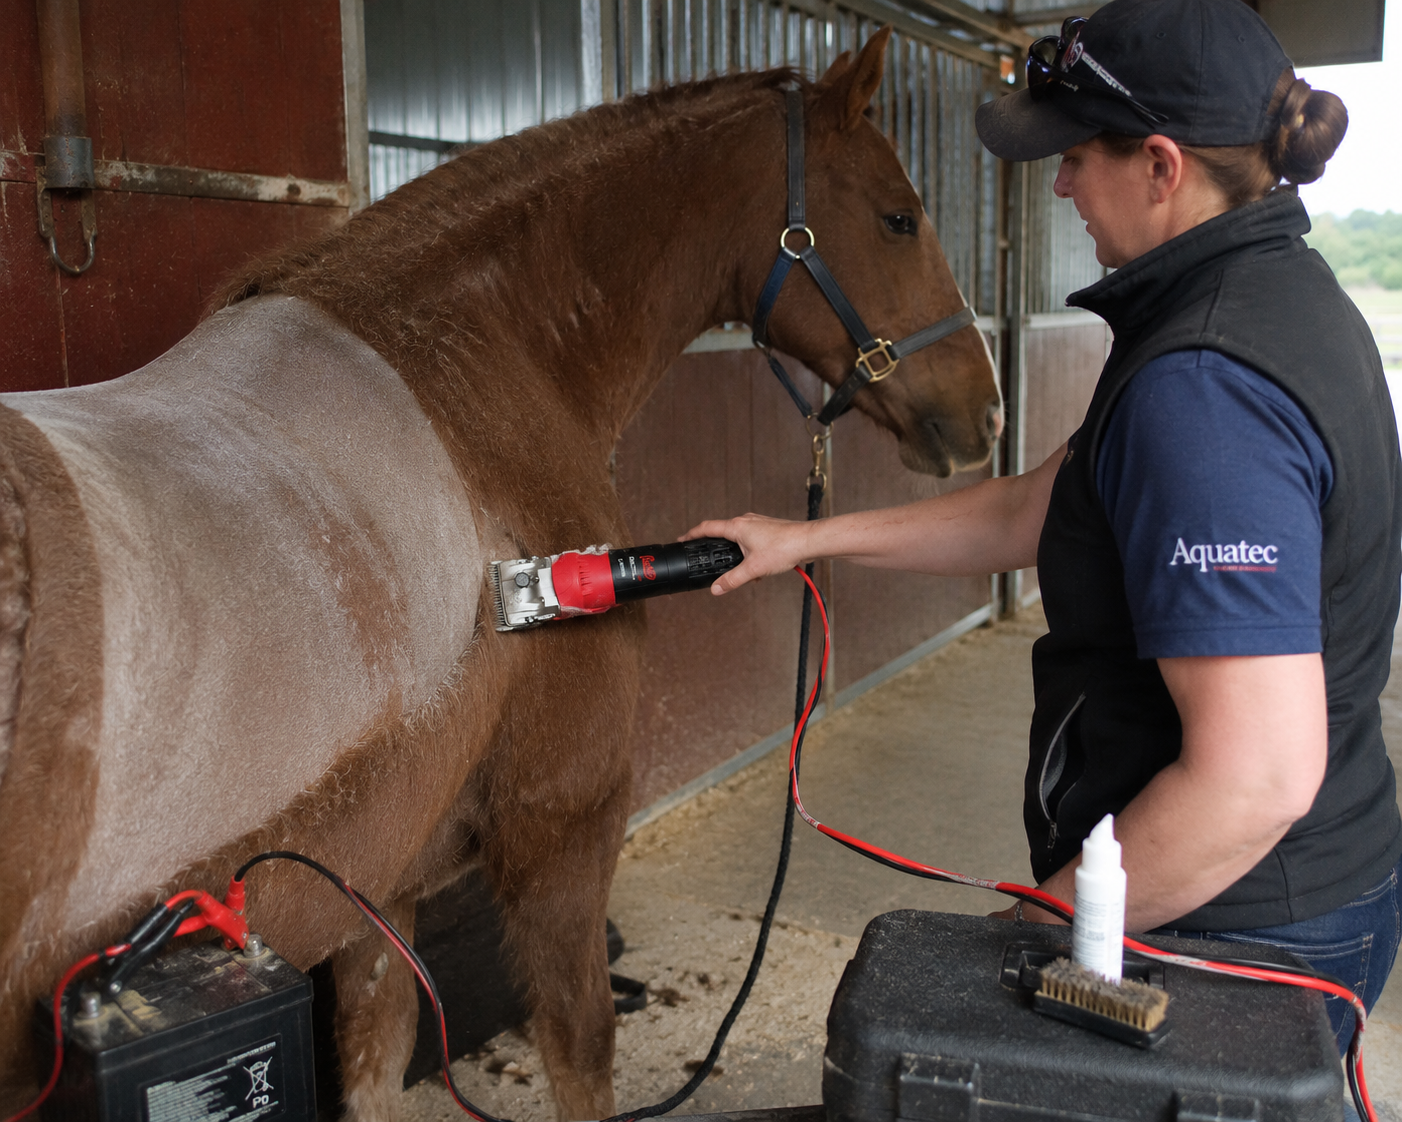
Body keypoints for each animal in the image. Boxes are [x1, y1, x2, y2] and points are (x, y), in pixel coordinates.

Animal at [0, 29, 998, 1121]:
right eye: (899, 216)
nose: (985, 414)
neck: (463, 370)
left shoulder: (379, 892)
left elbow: (378, 1057)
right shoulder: (562, 826)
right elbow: (579, 1047)